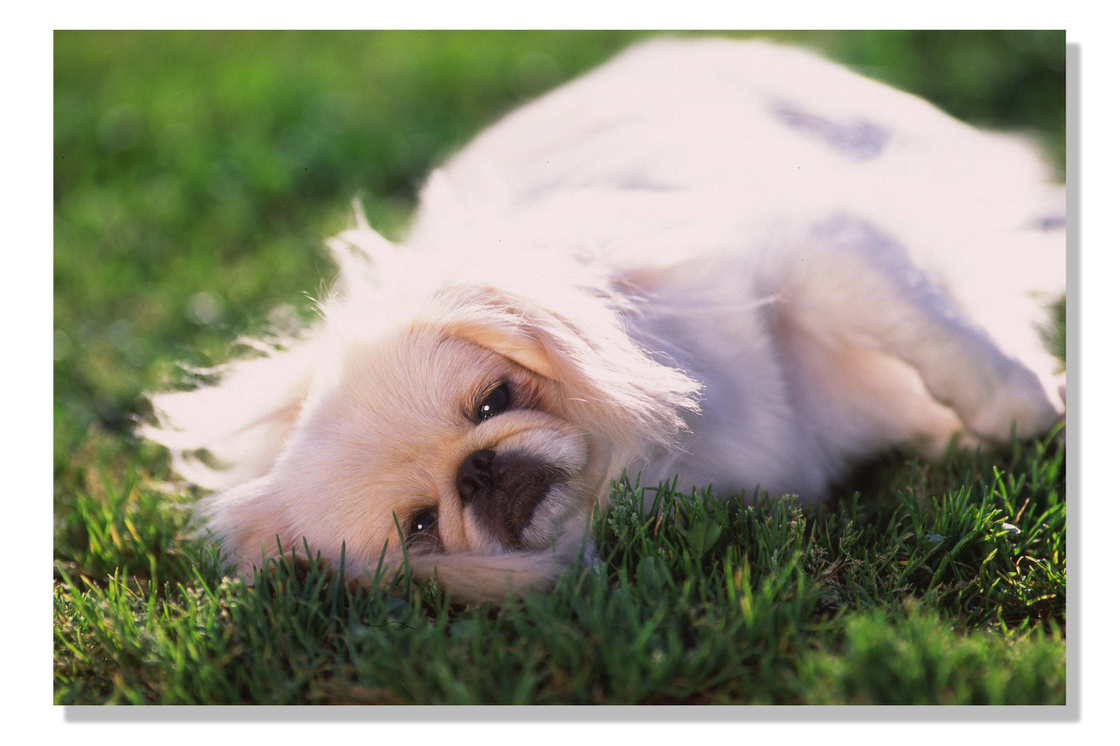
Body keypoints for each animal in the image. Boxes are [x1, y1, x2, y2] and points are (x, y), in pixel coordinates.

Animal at [142, 37, 1066, 600]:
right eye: (420, 527)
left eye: (494, 400)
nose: (477, 471)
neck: (658, 460)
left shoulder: (813, 251)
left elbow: (933, 329)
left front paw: (1020, 405)